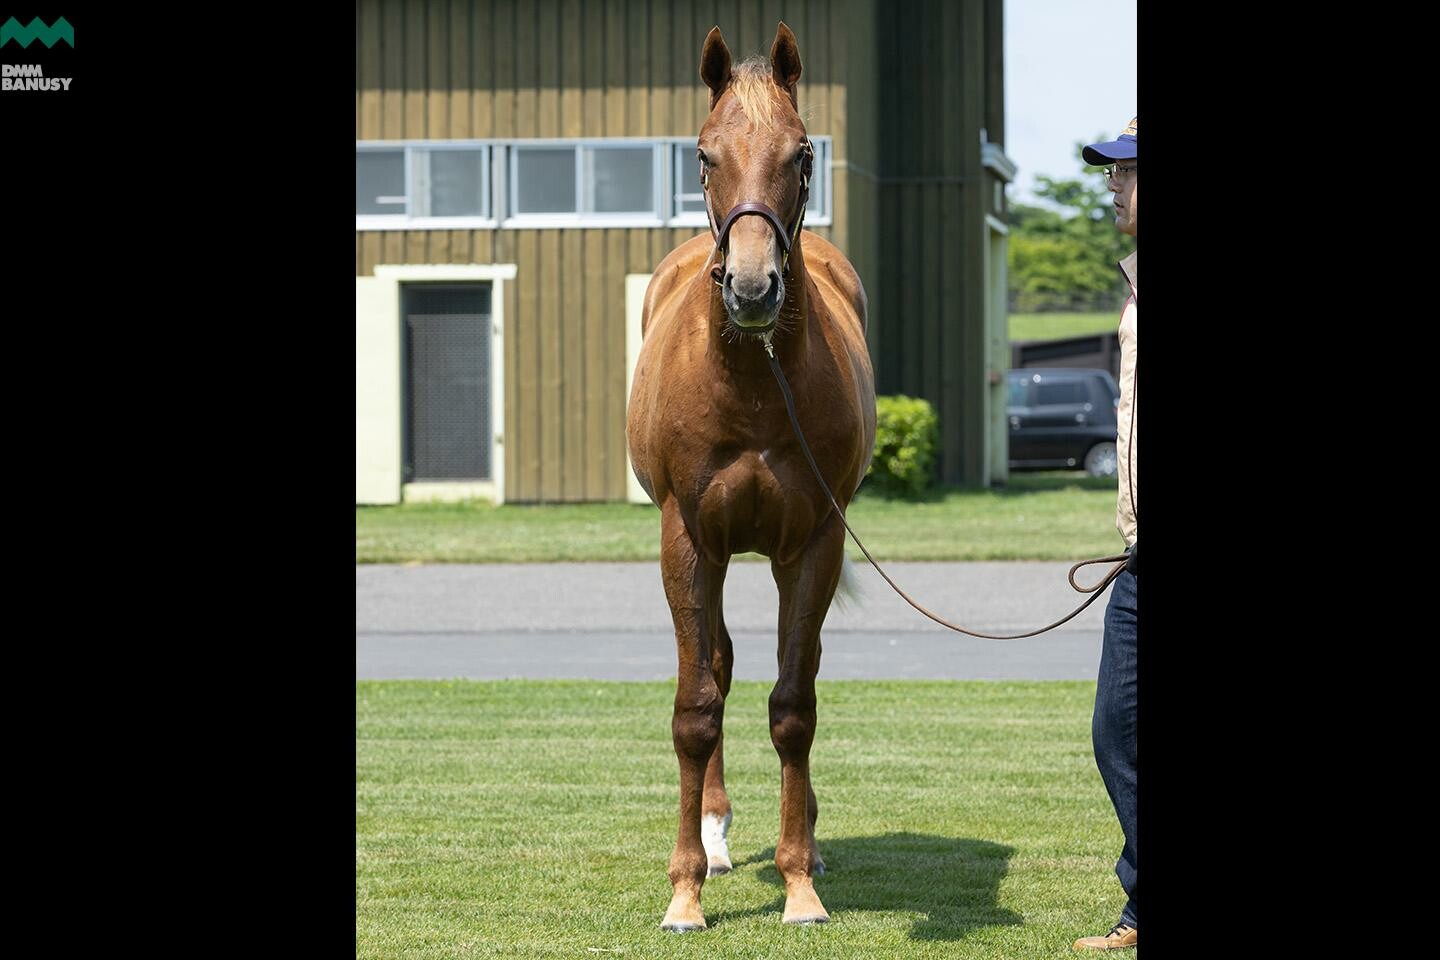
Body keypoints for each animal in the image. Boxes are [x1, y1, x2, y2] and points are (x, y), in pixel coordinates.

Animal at [622, 22, 869, 932]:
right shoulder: (689, 539)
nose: (754, 287)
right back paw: (717, 835)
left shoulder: (815, 543)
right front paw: (685, 890)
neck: (756, 383)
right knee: (718, 669)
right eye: (703, 154)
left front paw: (799, 885)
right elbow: (696, 708)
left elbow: (794, 707)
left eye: (803, 154)